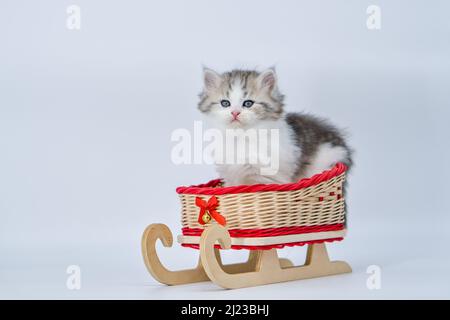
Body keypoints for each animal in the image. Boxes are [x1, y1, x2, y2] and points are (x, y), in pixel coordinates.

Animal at [198, 69, 352, 186]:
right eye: (225, 103)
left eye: (248, 103)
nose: (235, 113)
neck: (241, 135)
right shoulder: (230, 174)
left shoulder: (264, 175)